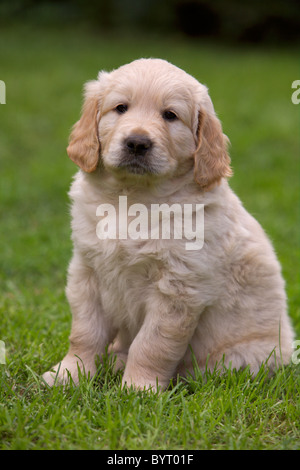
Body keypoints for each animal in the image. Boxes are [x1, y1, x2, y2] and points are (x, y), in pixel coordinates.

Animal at [43, 57, 294, 390]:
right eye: (121, 108)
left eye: (170, 115)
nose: (137, 143)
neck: (134, 199)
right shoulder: (87, 272)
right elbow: (84, 333)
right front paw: (69, 373)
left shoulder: (178, 287)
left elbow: (152, 344)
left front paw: (138, 388)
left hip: (243, 357)